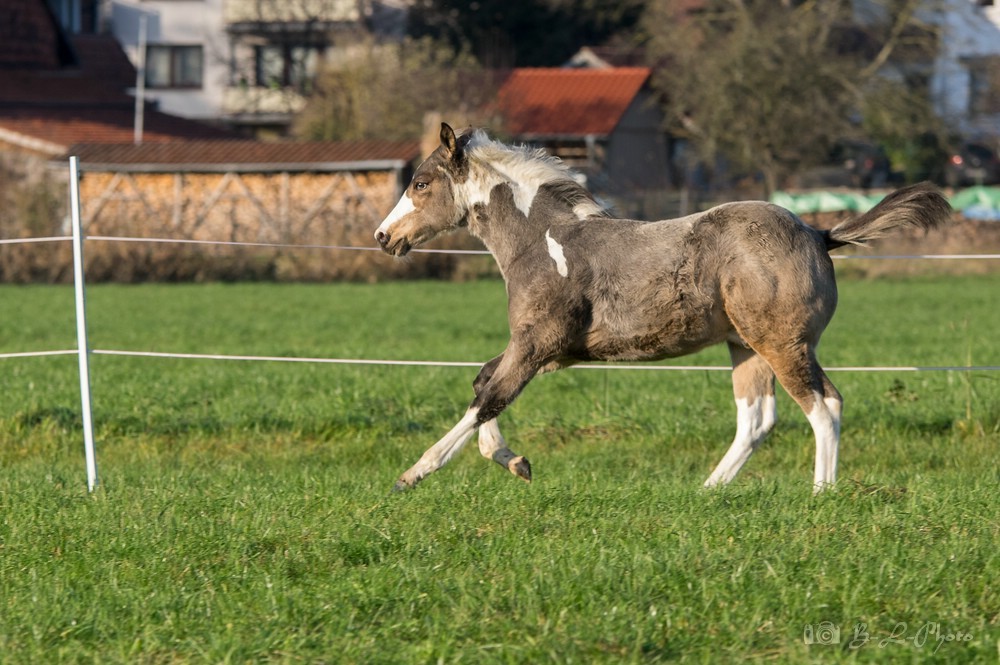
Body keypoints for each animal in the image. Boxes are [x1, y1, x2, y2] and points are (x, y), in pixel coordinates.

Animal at [376, 122, 952, 490]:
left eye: (421, 183)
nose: (384, 237)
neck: (543, 241)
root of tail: (818, 232)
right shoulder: (545, 348)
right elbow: (483, 385)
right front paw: (516, 462)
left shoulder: (539, 344)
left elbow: (489, 398)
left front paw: (413, 474)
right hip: (745, 346)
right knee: (757, 419)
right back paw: (708, 492)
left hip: (783, 343)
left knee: (823, 406)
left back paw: (820, 496)